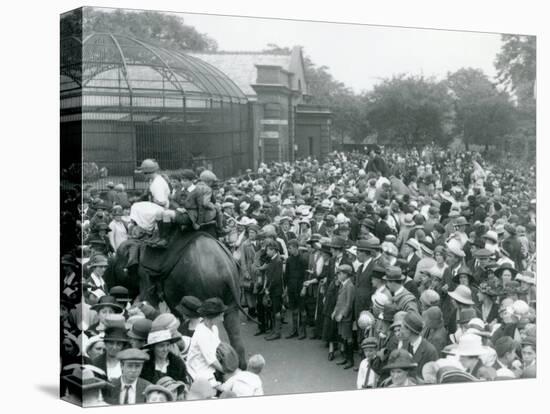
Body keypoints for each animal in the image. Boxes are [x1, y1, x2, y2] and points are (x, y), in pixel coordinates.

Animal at [104, 231, 250, 370]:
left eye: (117, 257)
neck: (139, 242)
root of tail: (227, 272)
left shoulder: (145, 274)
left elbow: (151, 301)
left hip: (201, 286)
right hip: (230, 292)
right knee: (232, 321)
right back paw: (240, 366)